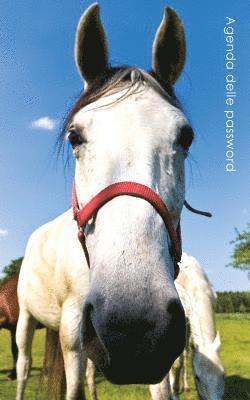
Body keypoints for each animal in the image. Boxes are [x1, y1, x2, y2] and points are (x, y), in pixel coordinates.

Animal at [15, 3, 192, 400]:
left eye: (186, 137)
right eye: (74, 136)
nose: (135, 329)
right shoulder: (72, 331)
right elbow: (73, 387)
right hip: (26, 320)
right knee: (23, 367)